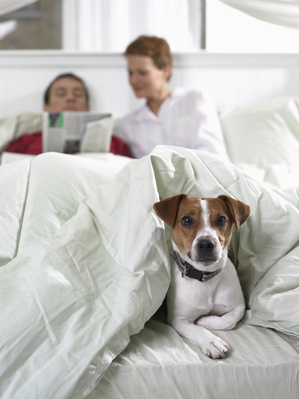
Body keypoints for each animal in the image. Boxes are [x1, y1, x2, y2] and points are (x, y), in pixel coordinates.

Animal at [155, 194, 251, 360]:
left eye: (221, 220)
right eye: (187, 220)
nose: (206, 244)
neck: (205, 278)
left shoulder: (239, 306)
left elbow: (227, 320)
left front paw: (204, 320)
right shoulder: (178, 320)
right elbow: (196, 330)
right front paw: (212, 342)